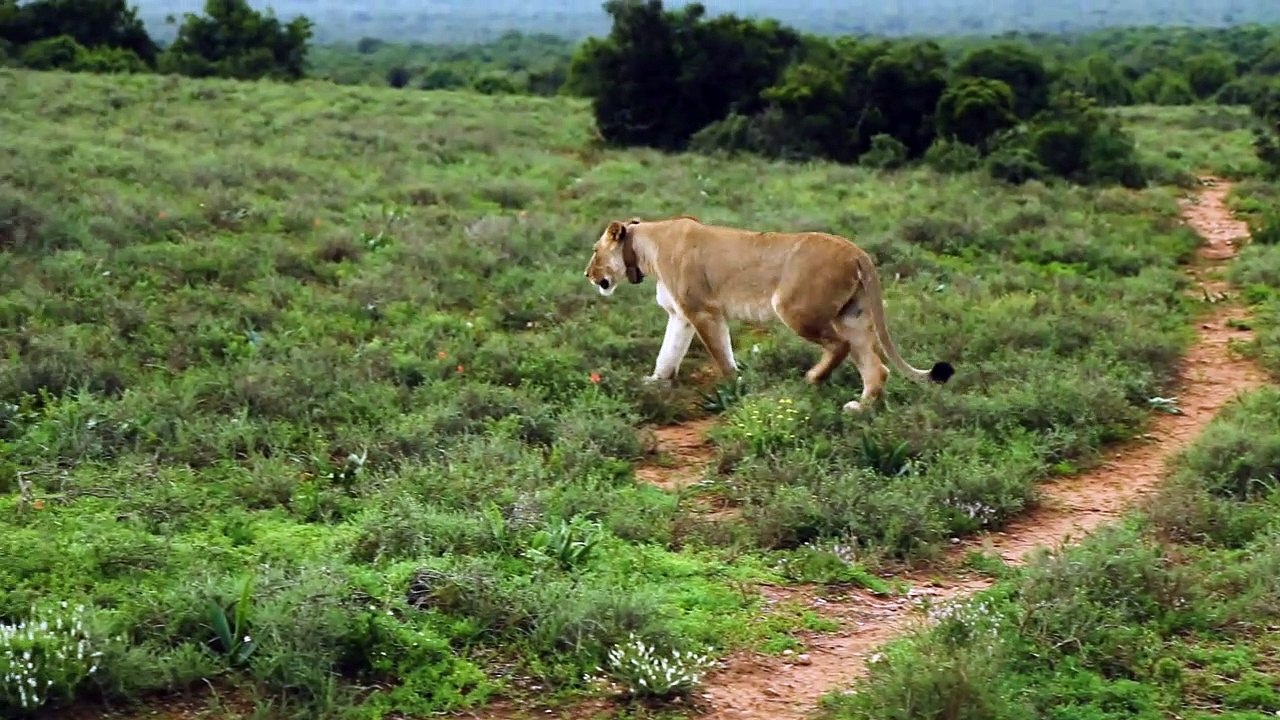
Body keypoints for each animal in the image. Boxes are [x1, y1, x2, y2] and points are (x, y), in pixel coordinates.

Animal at [582, 215, 954, 413]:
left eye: (595, 251)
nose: (587, 274)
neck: (645, 247)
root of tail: (857, 251)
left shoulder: (704, 311)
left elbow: (721, 354)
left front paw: (735, 387)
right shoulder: (681, 316)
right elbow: (668, 352)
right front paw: (655, 382)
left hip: (794, 308)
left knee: (839, 346)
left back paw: (813, 378)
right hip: (854, 316)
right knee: (876, 368)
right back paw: (859, 408)